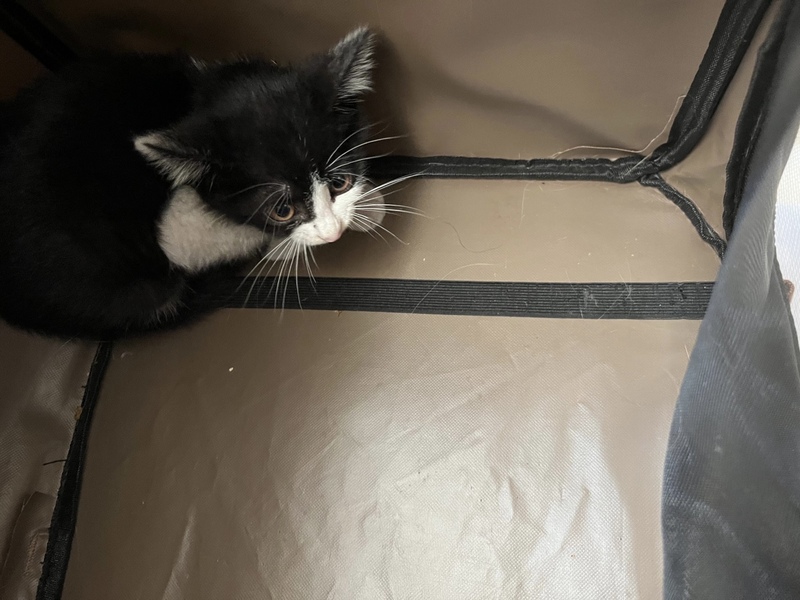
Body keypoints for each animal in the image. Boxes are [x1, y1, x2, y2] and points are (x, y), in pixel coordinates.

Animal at [0, 26, 389, 341]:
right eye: (282, 210)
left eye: (339, 181)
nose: (334, 233)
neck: (203, 91)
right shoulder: (177, 232)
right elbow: (236, 234)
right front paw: (286, 244)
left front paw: (366, 208)